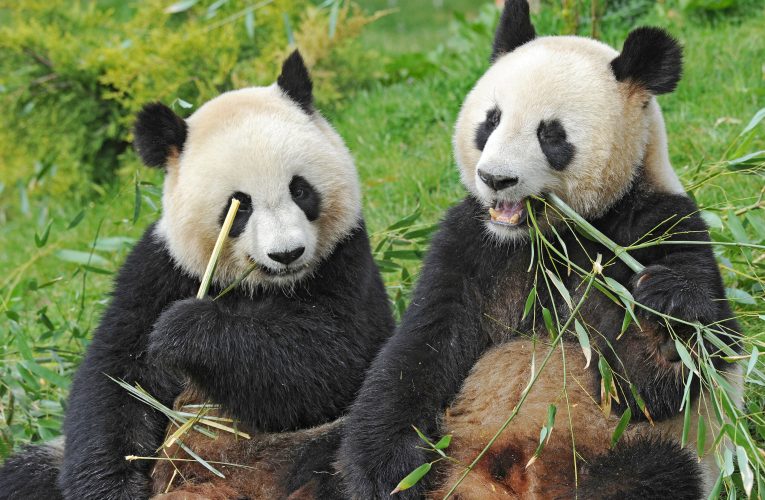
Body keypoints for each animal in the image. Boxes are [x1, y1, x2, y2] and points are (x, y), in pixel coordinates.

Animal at [0, 50, 394, 500]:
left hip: (312, 447)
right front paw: (111, 486)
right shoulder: (160, 269)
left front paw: (183, 330)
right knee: (26, 474)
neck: (263, 285)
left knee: (338, 459)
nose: (287, 254)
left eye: (300, 189)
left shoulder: (346, 261)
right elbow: (117, 379)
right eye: (239, 205)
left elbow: (335, 358)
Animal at [339, 1, 742, 499]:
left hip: (625, 453)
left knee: (652, 471)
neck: (545, 237)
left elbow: (657, 385)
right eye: (491, 120)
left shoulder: (659, 225)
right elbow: (418, 351)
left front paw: (664, 327)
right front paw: (386, 472)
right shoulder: (470, 244)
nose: (495, 179)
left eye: (551, 135)